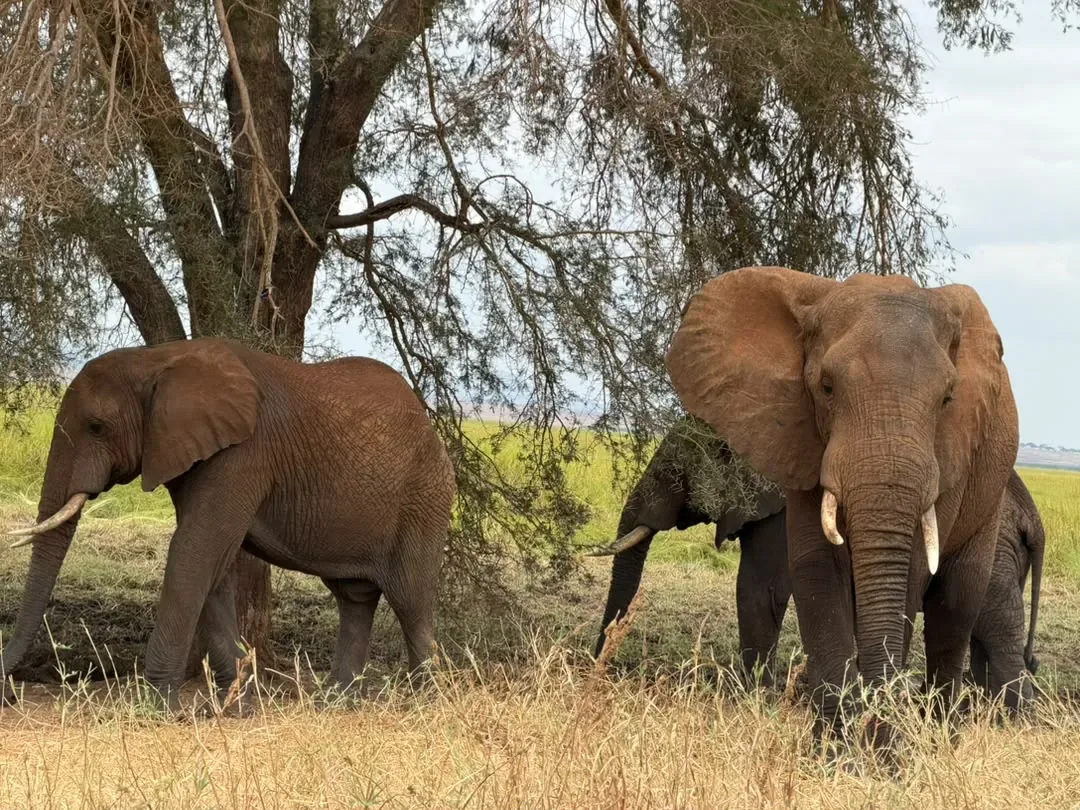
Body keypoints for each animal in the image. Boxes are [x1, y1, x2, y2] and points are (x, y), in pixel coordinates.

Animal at [1, 337, 456, 713]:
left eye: (97, 427)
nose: (9, 694)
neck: (158, 358)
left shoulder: (242, 454)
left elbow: (193, 550)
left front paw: (157, 710)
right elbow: (211, 562)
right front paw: (235, 701)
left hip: (424, 497)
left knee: (410, 598)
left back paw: (425, 705)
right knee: (354, 598)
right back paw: (333, 704)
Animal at [664, 267, 1019, 741]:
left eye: (947, 399)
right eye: (826, 387)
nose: (877, 717)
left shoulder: (951, 458)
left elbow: (911, 578)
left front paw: (884, 748)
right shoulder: (801, 440)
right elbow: (817, 569)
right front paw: (835, 747)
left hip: (989, 492)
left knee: (956, 604)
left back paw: (940, 736)